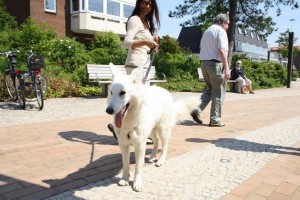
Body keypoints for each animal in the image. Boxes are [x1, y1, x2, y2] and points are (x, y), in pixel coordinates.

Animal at [105, 63, 197, 191]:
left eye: (122, 93)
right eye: (111, 92)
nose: (108, 110)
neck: (130, 121)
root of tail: (165, 91)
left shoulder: (140, 145)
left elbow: (138, 167)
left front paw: (137, 183)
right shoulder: (123, 144)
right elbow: (125, 164)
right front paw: (124, 179)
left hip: (163, 131)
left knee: (164, 146)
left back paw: (160, 161)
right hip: (151, 132)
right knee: (156, 142)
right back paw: (152, 156)